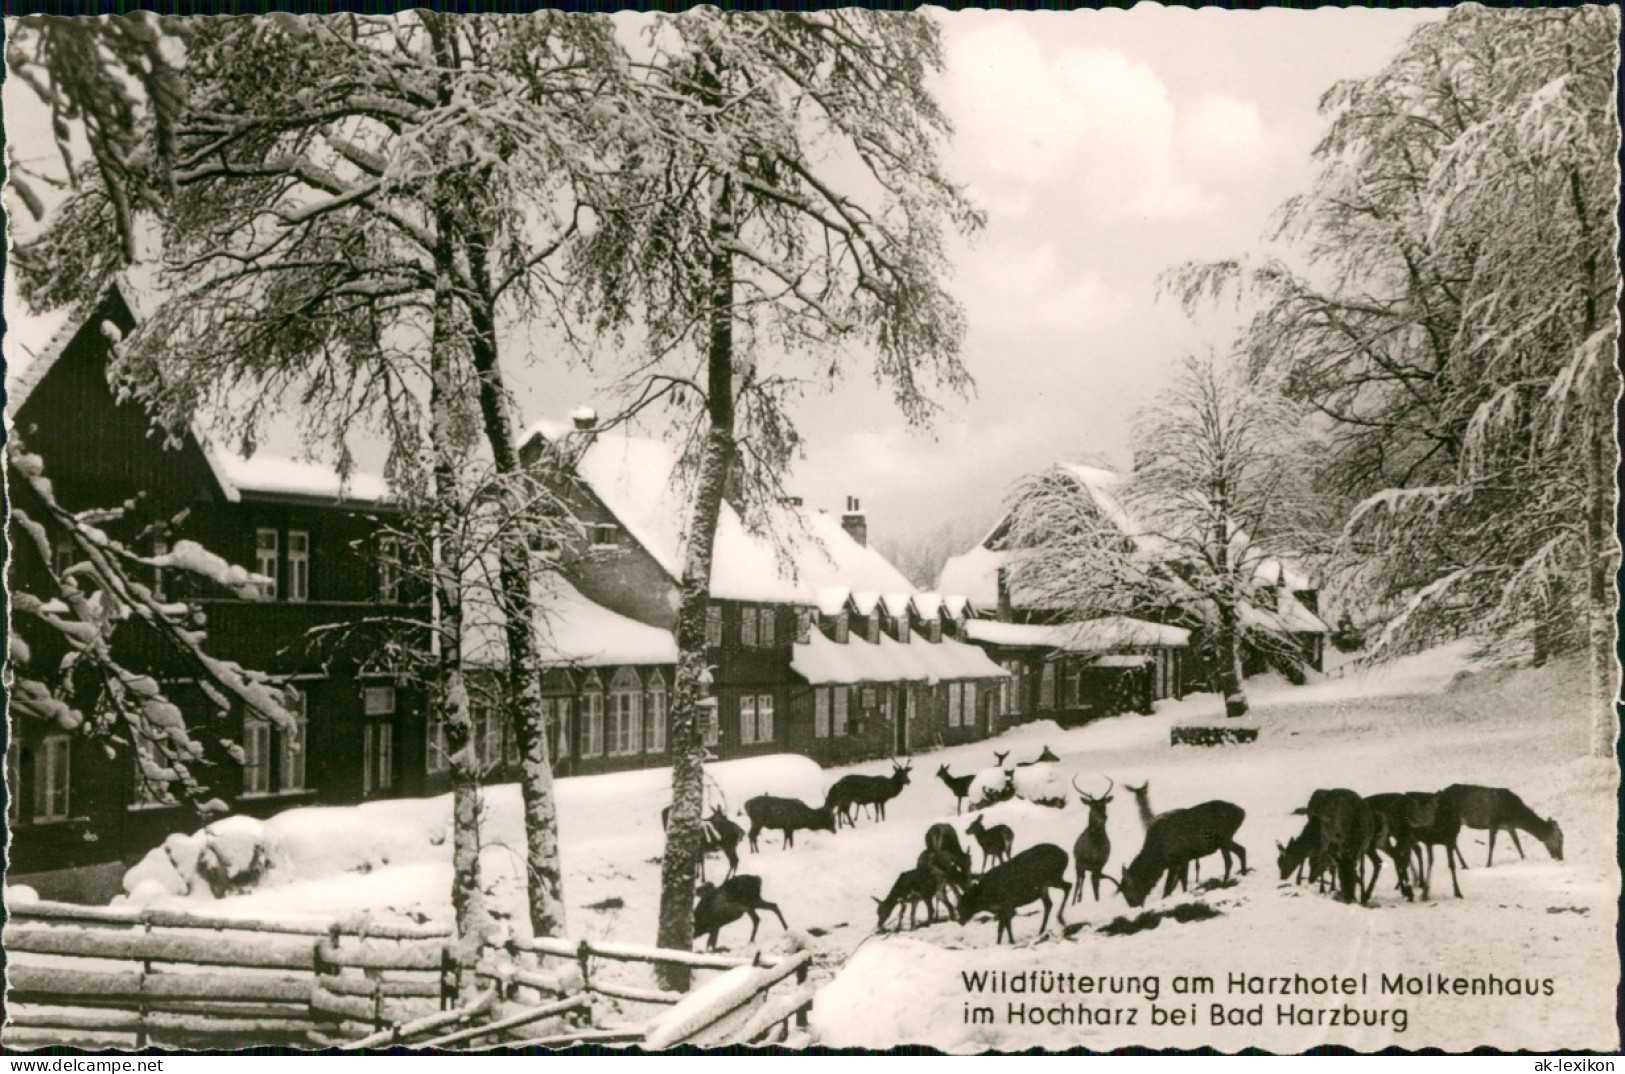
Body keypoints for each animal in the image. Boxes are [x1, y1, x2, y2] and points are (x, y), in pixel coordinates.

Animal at [1066, 773, 1118, 903]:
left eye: (1104, 805)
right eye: (1093, 806)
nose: (1104, 816)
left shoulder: (1100, 864)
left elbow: (1096, 886)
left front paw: (1097, 901)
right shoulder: (1081, 862)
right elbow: (1080, 883)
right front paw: (1077, 901)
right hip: (1078, 864)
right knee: (1078, 882)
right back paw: (1075, 901)